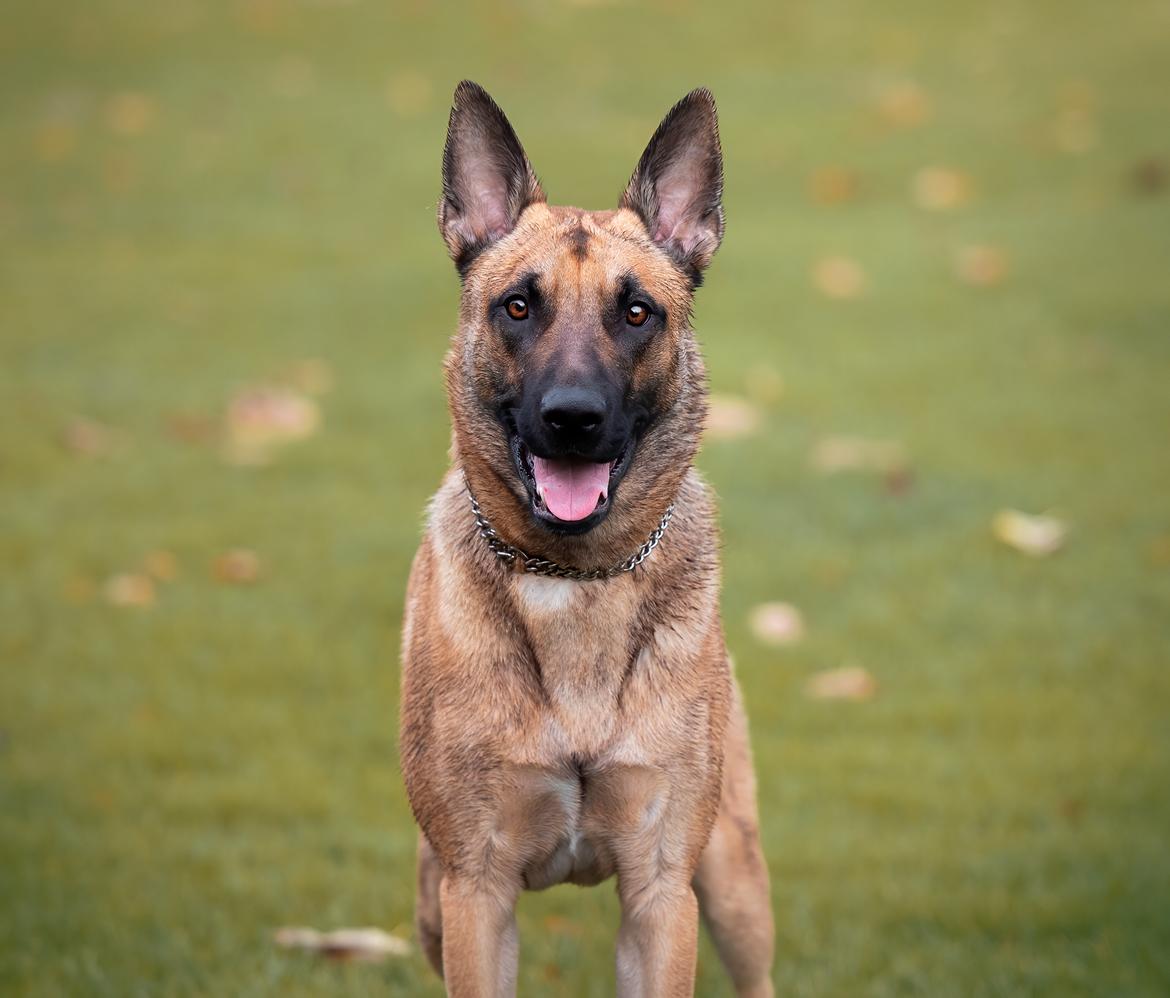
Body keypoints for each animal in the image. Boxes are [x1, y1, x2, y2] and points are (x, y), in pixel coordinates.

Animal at [397, 81, 772, 992]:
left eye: (636, 312)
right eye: (517, 306)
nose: (573, 418)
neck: (572, 580)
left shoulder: (664, 892)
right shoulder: (474, 892)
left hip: (735, 880)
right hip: (429, 902)